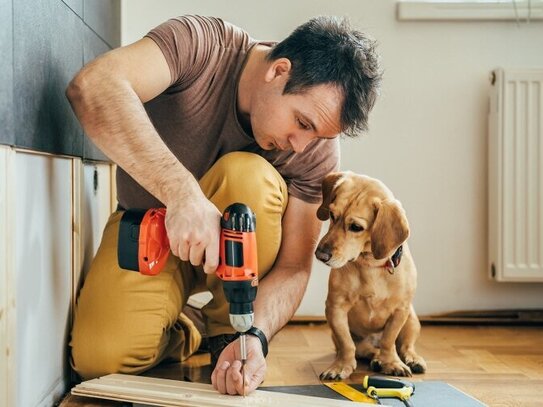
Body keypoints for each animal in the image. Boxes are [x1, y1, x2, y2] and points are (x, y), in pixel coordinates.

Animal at [316, 172, 428, 380]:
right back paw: (376, 358)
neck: (371, 266)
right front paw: (341, 366)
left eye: (356, 227)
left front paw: (392, 363)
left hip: (412, 319)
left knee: (405, 345)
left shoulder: (400, 310)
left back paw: (412, 359)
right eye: (332, 215)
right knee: (365, 349)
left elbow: (389, 340)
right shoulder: (335, 308)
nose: (320, 255)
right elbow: (346, 344)